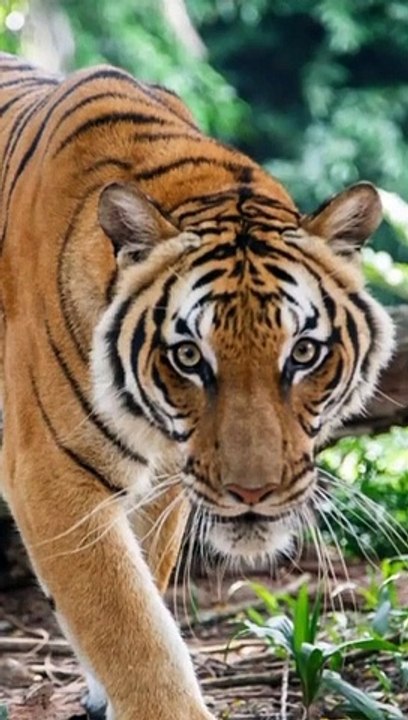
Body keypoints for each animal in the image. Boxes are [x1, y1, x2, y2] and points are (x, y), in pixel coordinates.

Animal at [0, 52, 394, 720]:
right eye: (189, 357)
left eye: (304, 353)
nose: (252, 493)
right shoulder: (51, 473)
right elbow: (132, 629)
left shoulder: (166, 480)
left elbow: (144, 584)